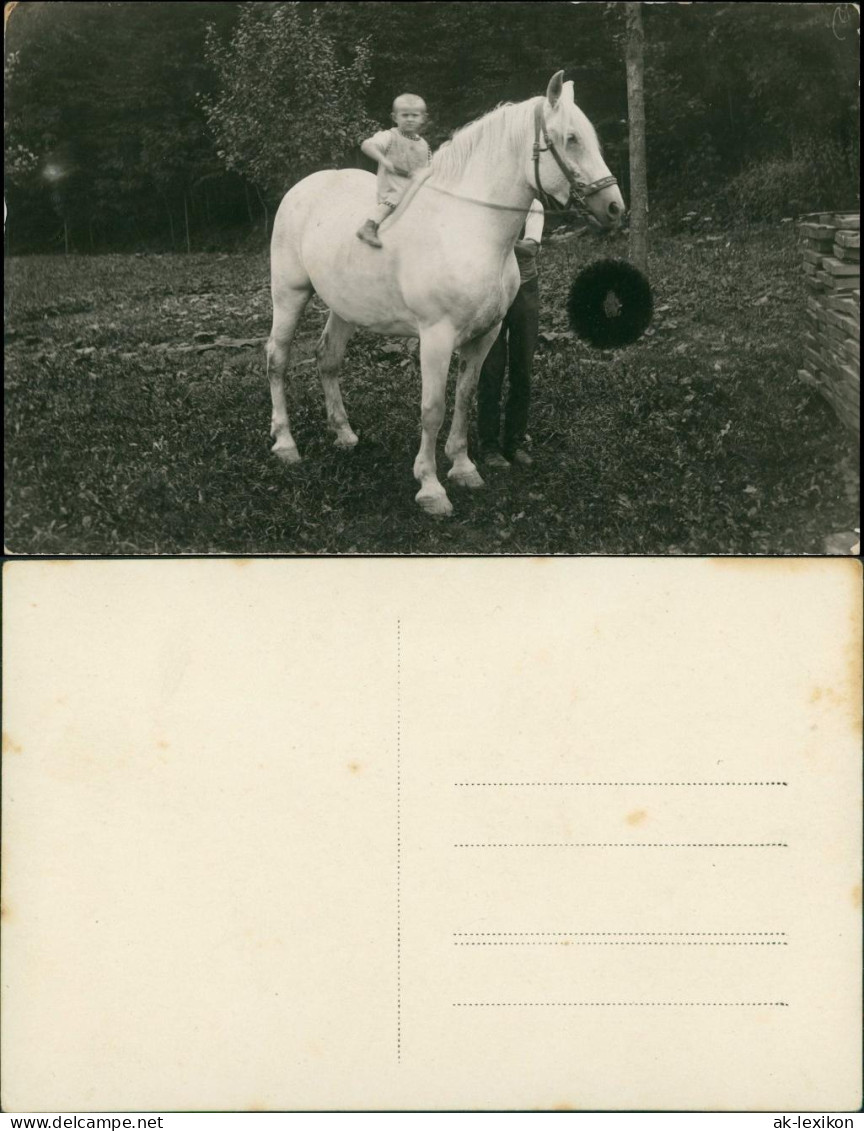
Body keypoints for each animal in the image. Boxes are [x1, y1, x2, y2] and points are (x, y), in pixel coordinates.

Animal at [266, 75, 624, 520]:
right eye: (571, 139)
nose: (614, 208)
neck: (467, 226)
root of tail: (302, 188)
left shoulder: (485, 335)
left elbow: (465, 396)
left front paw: (464, 467)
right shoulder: (435, 338)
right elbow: (432, 409)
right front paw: (431, 488)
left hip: (344, 307)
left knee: (327, 357)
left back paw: (345, 434)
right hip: (289, 294)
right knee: (277, 359)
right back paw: (285, 444)